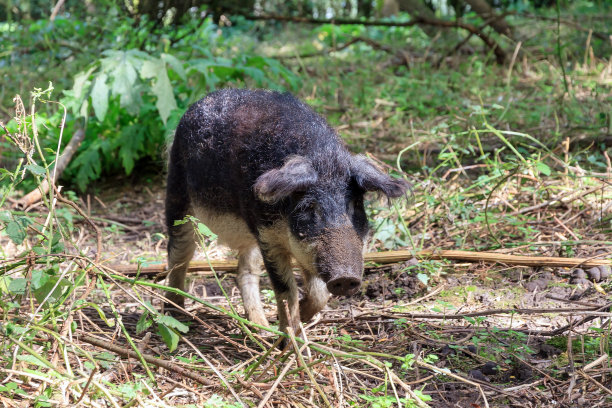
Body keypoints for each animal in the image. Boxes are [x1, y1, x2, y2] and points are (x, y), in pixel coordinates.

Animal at [165, 87, 408, 334]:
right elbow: (285, 290)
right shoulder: (268, 236)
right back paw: (175, 314)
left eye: (354, 205)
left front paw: (300, 316)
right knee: (178, 254)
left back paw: (262, 328)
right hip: (177, 196)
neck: (323, 158)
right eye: (309, 207)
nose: (346, 276)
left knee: (246, 271)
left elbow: (319, 294)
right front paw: (288, 335)